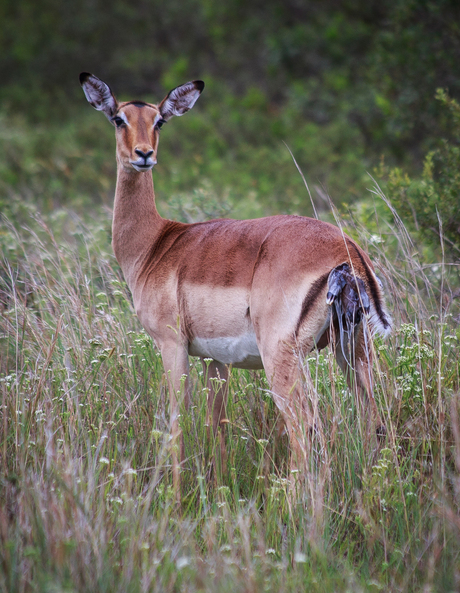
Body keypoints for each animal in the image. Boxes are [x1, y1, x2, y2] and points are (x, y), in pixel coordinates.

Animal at [80, 73, 392, 490]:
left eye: (159, 121)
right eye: (119, 118)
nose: (143, 154)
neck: (156, 245)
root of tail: (347, 251)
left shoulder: (172, 344)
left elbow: (177, 425)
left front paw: (175, 498)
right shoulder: (218, 361)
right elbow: (217, 428)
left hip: (283, 357)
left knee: (307, 429)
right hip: (354, 347)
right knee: (373, 423)